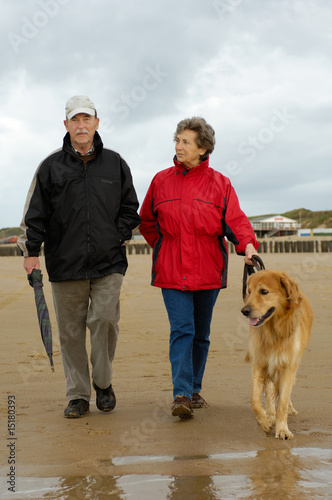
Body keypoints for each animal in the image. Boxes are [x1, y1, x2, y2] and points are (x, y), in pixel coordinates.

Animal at [240, 272, 312, 440]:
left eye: (264, 291)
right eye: (249, 291)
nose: (244, 311)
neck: (272, 332)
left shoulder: (287, 367)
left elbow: (283, 402)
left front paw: (282, 429)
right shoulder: (259, 364)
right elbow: (255, 400)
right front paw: (265, 422)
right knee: (270, 391)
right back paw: (270, 414)